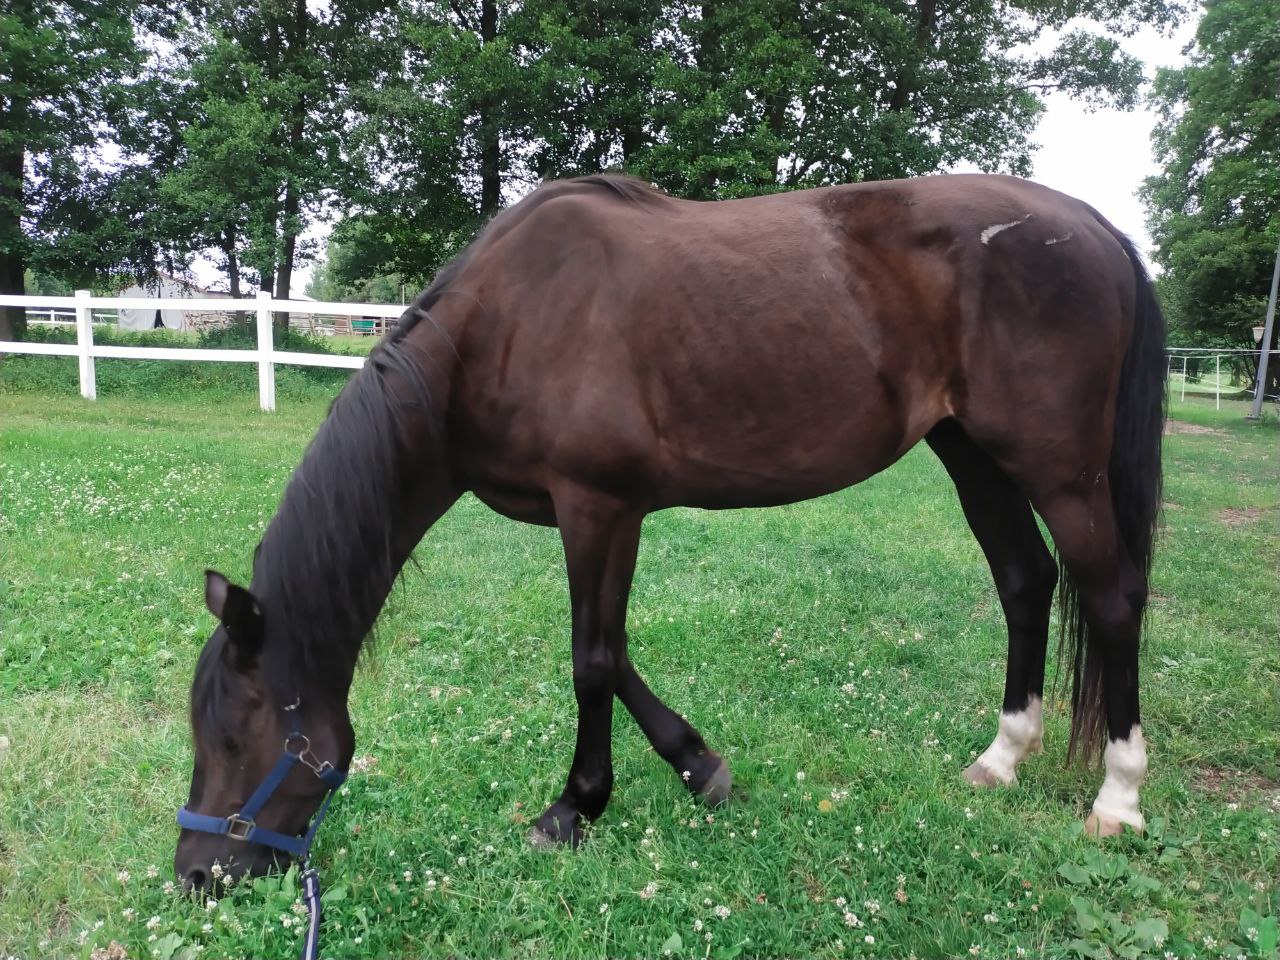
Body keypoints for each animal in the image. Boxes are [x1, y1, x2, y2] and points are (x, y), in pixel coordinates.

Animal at [175, 175, 1167, 896]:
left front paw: (573, 807)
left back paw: (1119, 797)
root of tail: (1094, 226)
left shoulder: (597, 506)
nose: (197, 875)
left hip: (1058, 469)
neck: (505, 323)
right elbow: (615, 653)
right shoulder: (602, 514)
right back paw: (1002, 758)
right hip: (973, 453)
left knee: (1111, 597)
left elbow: (591, 658)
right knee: (1025, 581)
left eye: (234, 734)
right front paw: (700, 767)